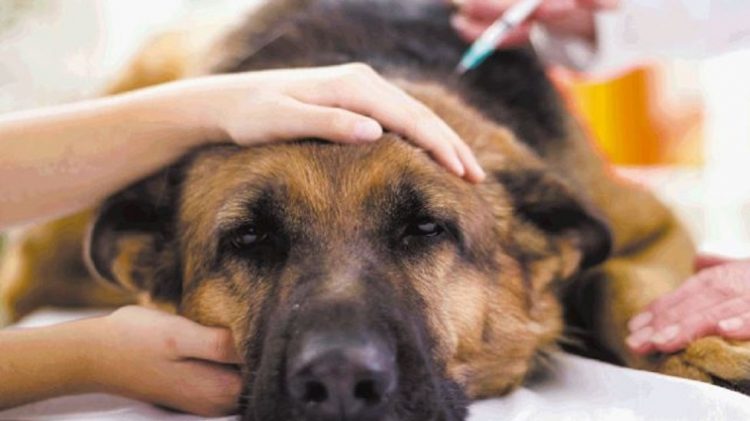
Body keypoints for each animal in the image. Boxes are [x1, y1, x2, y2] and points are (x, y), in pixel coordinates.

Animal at [5, 0, 750, 420]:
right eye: (249, 239)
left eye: (426, 229)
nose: (339, 380)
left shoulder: (650, 226)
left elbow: (616, 280)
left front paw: (695, 348)